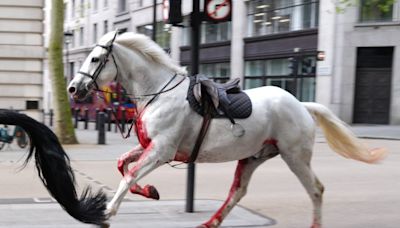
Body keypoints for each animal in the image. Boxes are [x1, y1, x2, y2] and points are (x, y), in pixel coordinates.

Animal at [67, 31, 386, 227]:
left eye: (95, 58)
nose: (72, 88)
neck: (159, 93)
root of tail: (301, 105)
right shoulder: (151, 147)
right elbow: (123, 165)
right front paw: (151, 191)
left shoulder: (161, 151)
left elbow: (129, 175)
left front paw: (107, 212)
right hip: (254, 157)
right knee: (238, 192)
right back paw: (212, 221)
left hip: (294, 156)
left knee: (316, 189)